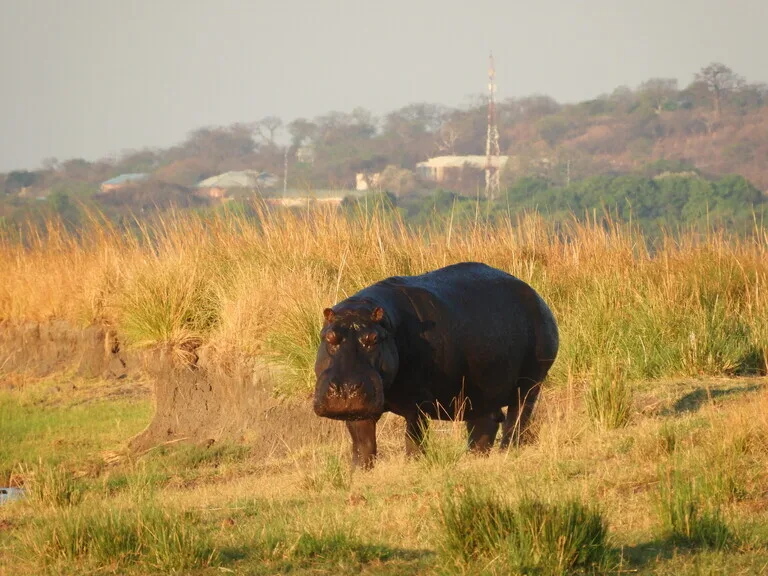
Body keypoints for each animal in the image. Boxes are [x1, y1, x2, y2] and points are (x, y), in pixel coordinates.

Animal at [312, 260, 560, 468]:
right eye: (329, 337)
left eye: (373, 339)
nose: (345, 389)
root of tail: (536, 296)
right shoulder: (359, 408)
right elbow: (362, 442)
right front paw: (358, 470)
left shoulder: (417, 402)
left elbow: (414, 436)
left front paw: (414, 464)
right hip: (481, 393)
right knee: (485, 423)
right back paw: (475, 457)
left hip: (530, 382)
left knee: (517, 417)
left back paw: (507, 451)